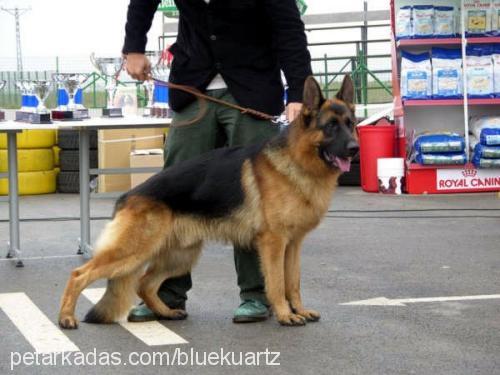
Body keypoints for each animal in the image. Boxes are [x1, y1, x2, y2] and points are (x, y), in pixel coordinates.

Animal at [58, 75, 360, 328]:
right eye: (330, 126)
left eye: (351, 124)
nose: (355, 149)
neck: (297, 162)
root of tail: (127, 198)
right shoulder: (274, 244)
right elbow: (276, 283)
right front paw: (286, 315)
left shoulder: (293, 245)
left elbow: (293, 282)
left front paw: (300, 310)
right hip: (133, 251)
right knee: (79, 274)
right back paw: (66, 318)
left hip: (180, 256)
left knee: (144, 283)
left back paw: (166, 312)